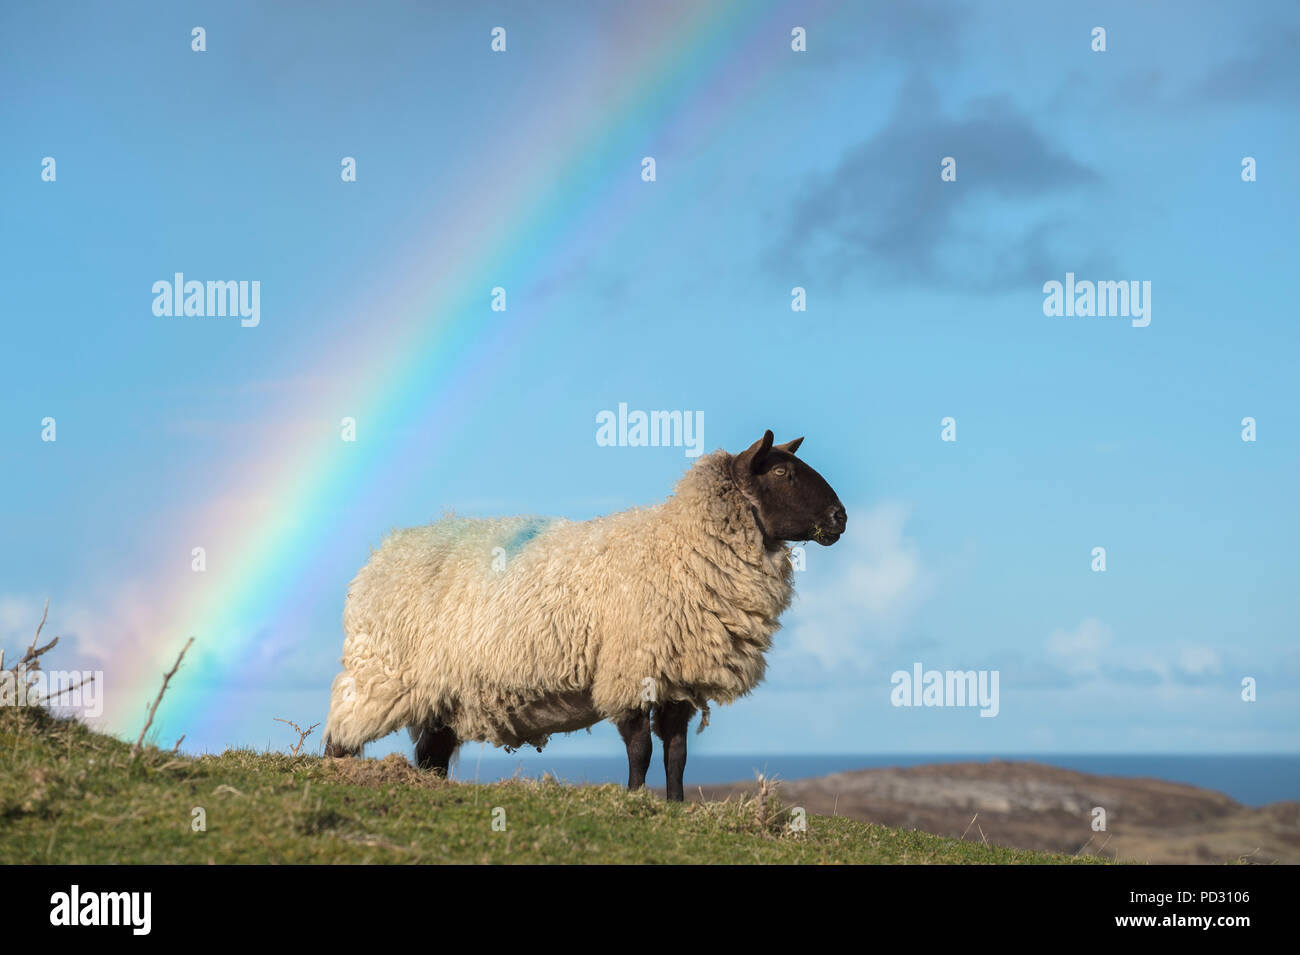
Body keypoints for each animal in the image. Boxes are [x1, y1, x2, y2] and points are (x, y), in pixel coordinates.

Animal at [323, 431, 847, 800]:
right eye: (781, 472)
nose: (840, 518)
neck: (681, 545)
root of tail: (384, 553)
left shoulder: (675, 676)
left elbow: (676, 753)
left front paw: (676, 806)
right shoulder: (628, 671)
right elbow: (642, 749)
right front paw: (636, 800)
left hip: (440, 696)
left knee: (431, 755)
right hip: (379, 674)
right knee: (341, 731)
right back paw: (332, 771)